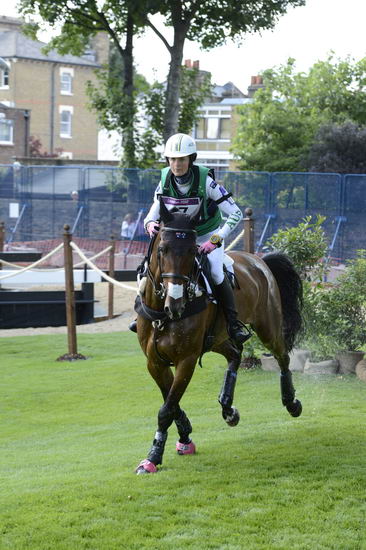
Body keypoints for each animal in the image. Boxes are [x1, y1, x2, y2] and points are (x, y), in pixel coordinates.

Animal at [134, 203, 304, 474]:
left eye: (192, 251)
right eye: (162, 249)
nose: (176, 304)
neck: (162, 314)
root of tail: (259, 260)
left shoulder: (187, 360)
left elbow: (167, 408)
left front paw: (152, 457)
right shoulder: (154, 362)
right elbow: (171, 403)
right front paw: (184, 436)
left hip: (268, 327)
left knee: (282, 357)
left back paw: (291, 402)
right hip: (217, 339)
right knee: (235, 354)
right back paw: (227, 407)